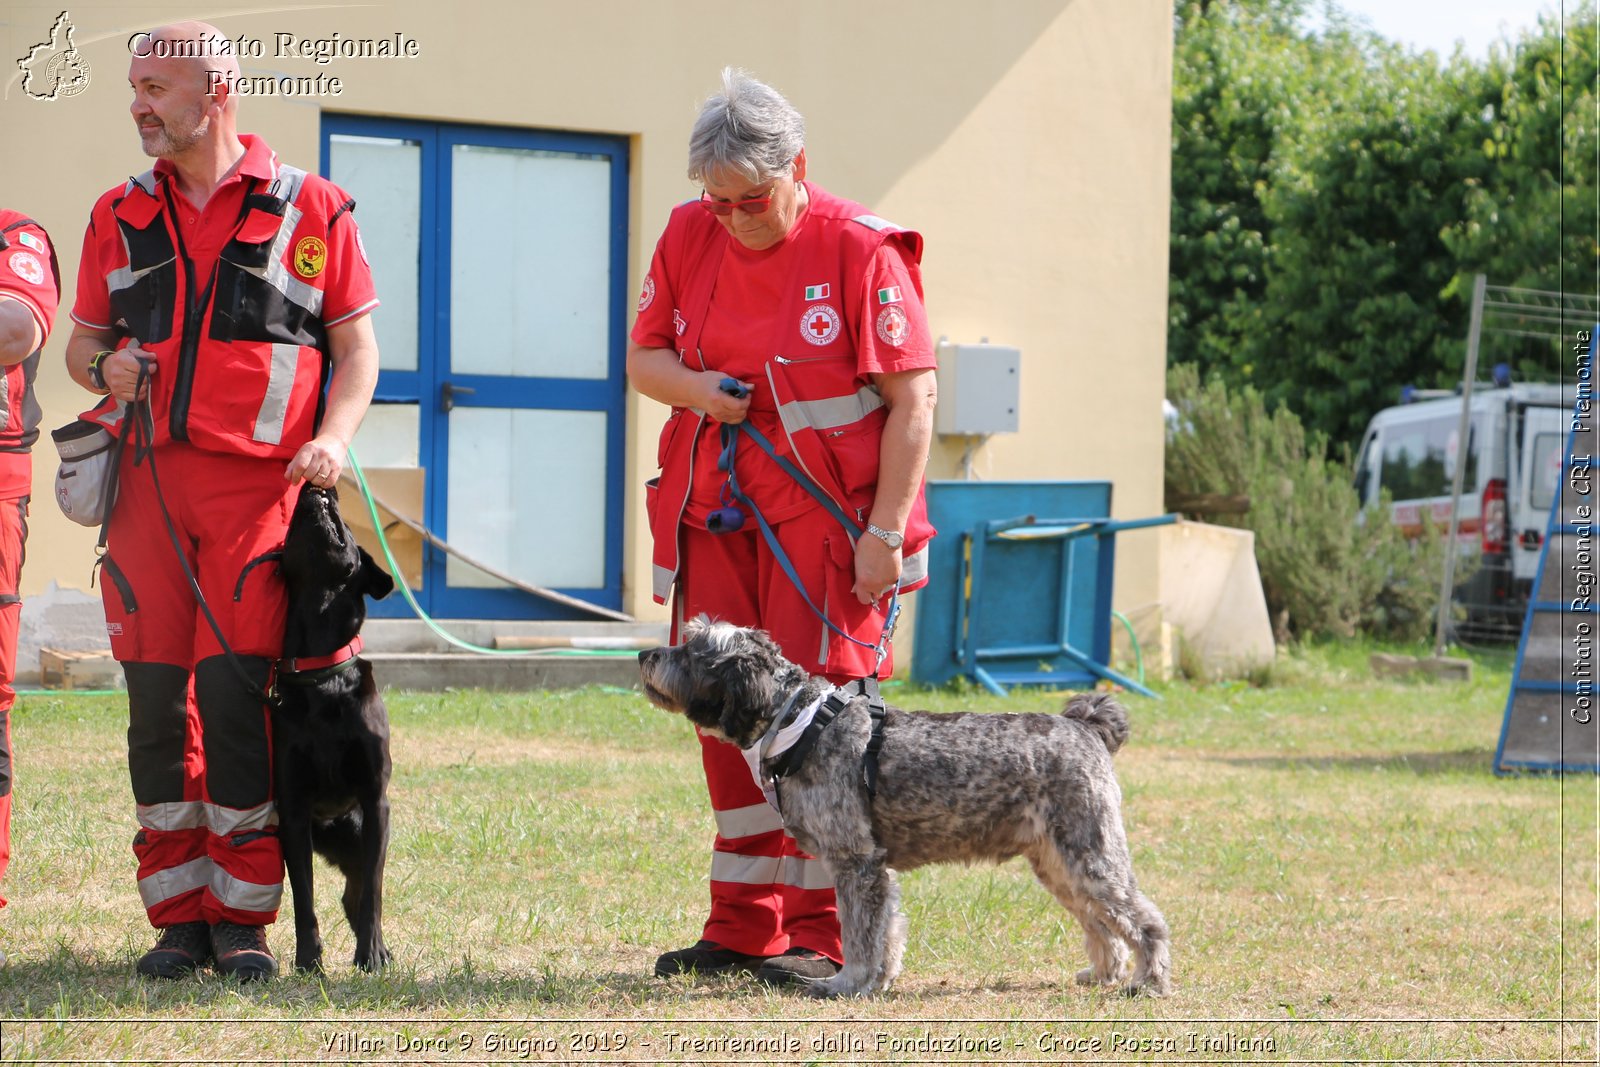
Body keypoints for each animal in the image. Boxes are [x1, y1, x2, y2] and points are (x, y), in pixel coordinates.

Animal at [273, 489, 395, 972]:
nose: (319, 489)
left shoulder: (376, 803)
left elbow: (374, 895)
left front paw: (371, 954)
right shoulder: (292, 812)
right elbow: (303, 897)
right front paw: (308, 959)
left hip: (358, 830)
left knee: (359, 891)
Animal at [640, 617, 1177, 1004]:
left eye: (693, 650)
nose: (646, 654)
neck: (802, 723)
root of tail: (1085, 726)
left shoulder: (856, 863)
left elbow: (859, 936)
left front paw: (846, 985)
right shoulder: (879, 869)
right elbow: (887, 933)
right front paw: (878, 982)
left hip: (1090, 857)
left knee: (1145, 920)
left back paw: (1148, 982)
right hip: (1059, 865)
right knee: (1101, 923)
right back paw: (1104, 973)